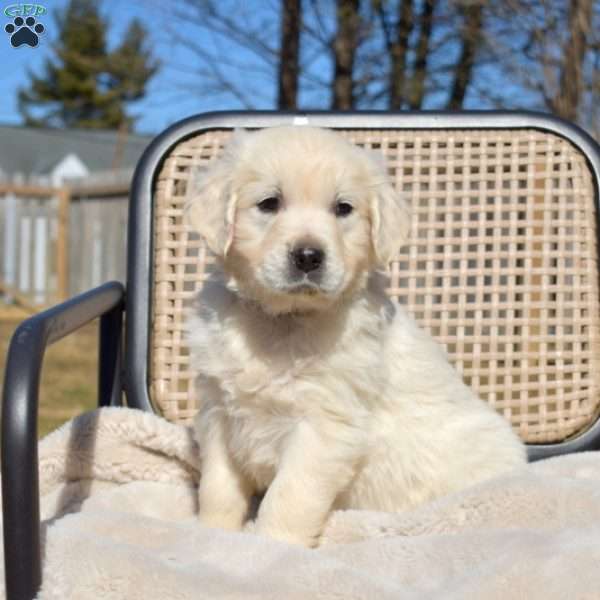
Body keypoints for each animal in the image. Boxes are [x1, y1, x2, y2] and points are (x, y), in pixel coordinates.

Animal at [186, 124, 524, 548]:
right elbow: (218, 487)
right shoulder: (219, 411)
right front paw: (212, 533)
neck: (283, 321)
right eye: (269, 203)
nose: (309, 256)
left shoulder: (323, 425)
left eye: (343, 208)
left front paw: (273, 546)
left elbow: (290, 496)